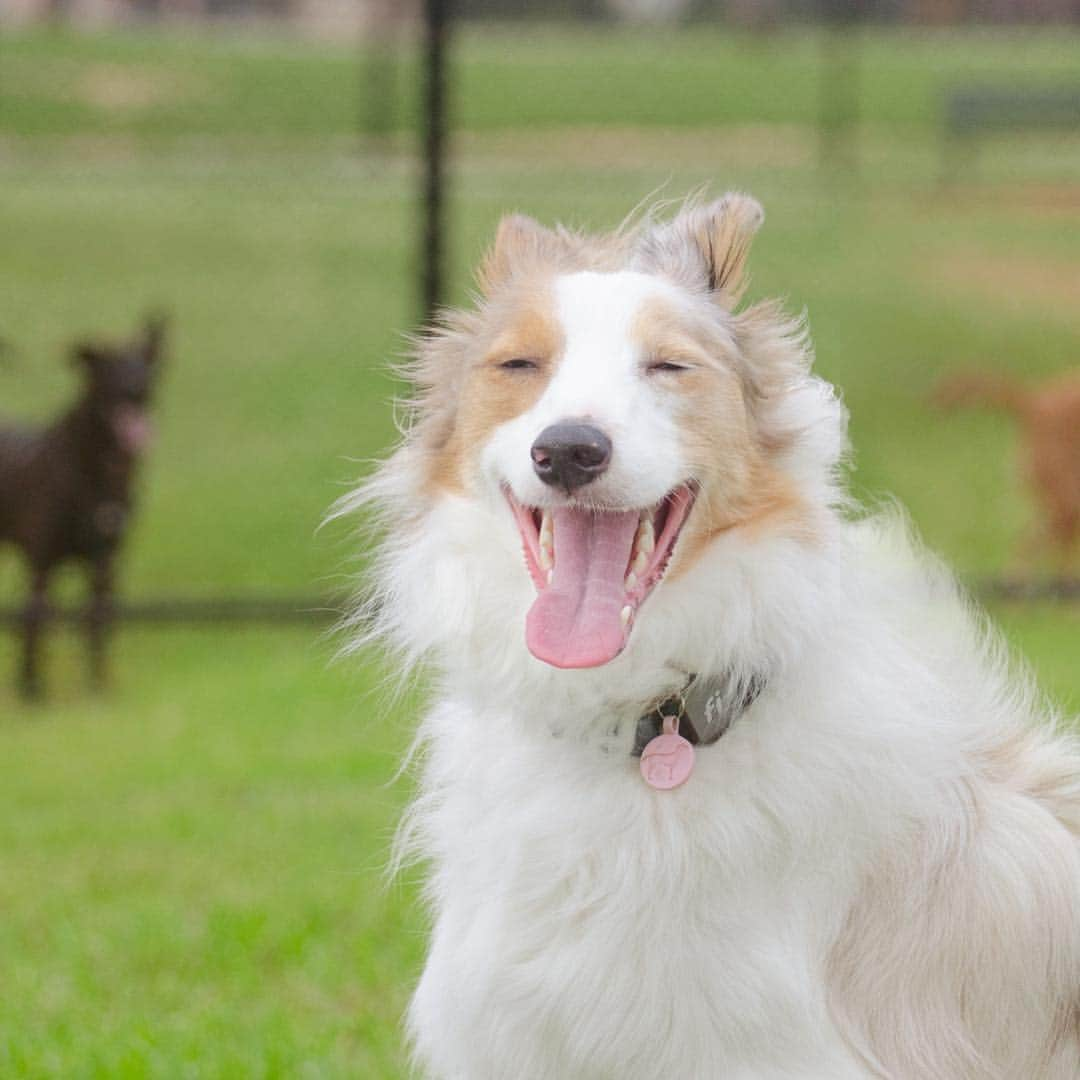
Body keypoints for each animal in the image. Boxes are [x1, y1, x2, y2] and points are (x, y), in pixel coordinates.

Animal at [0, 315, 166, 699]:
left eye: (144, 364)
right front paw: (32, 693)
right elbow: (34, 631)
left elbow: (97, 629)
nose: (138, 389)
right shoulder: (42, 563)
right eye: (111, 366)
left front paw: (99, 689)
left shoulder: (106, 564)